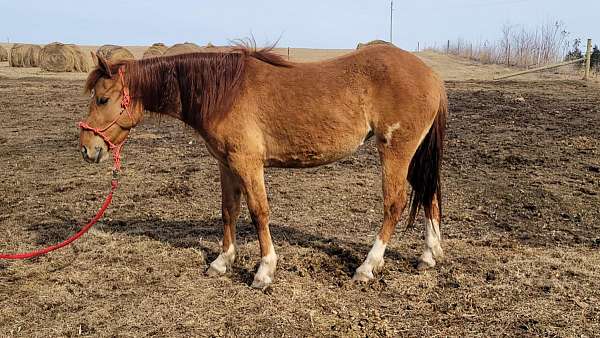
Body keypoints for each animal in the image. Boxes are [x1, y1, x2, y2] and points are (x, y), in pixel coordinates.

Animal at [78, 43, 446, 290]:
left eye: (103, 99)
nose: (86, 148)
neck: (222, 92)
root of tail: (431, 74)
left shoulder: (248, 163)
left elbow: (259, 212)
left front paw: (264, 270)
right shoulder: (227, 164)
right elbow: (229, 210)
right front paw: (222, 261)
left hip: (395, 151)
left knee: (394, 204)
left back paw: (367, 267)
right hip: (413, 155)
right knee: (429, 196)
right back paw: (429, 255)